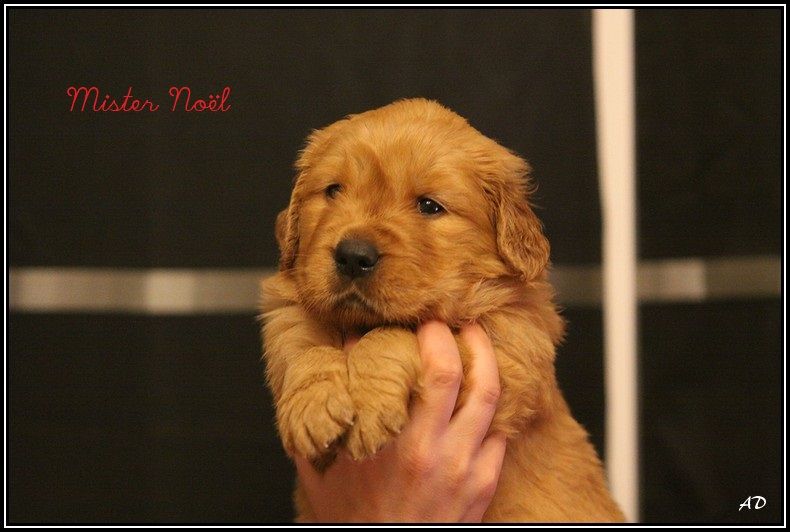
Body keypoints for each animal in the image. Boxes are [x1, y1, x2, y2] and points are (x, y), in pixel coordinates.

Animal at [262, 97, 628, 520]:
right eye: (333, 190)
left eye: (429, 206)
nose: (352, 255)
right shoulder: (287, 310)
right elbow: (303, 342)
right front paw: (312, 407)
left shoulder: (512, 351)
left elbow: (395, 333)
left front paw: (369, 403)